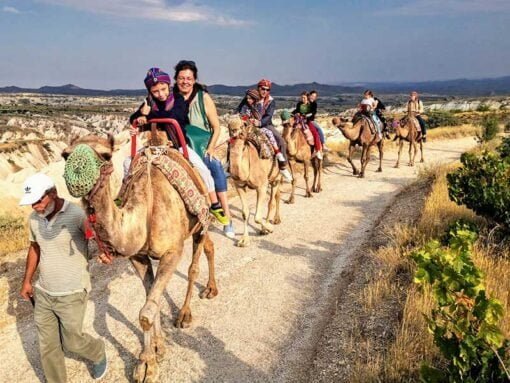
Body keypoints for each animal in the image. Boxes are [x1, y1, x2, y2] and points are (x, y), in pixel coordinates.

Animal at [61, 134, 217, 382]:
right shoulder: (138, 257)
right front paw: (157, 349)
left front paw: (146, 365)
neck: (145, 212)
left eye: (106, 155)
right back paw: (211, 289)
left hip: (201, 219)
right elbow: (150, 298)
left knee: (194, 265)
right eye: (65, 155)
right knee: (210, 246)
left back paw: (185, 314)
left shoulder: (172, 252)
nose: (76, 179)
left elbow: (145, 313)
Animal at [228, 118, 282, 248]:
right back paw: (275, 220)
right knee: (277, 195)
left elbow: (257, 217)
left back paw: (270, 224)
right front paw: (244, 240)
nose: (234, 129)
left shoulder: (261, 185)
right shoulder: (239, 186)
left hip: (276, 177)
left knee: (271, 201)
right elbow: (244, 213)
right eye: (228, 125)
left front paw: (269, 228)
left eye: (242, 125)